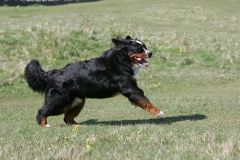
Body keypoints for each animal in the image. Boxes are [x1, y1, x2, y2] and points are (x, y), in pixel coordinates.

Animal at [24, 35, 163, 127]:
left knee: (67, 118)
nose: (150, 53)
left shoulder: (131, 87)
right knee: (43, 111)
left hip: (77, 102)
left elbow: (139, 100)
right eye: (139, 48)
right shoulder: (130, 87)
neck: (122, 60)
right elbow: (145, 101)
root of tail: (52, 73)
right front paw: (158, 112)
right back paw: (44, 125)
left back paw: (78, 126)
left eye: (144, 47)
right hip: (59, 101)